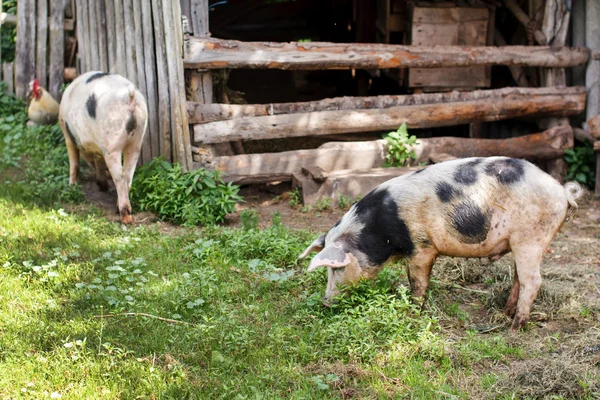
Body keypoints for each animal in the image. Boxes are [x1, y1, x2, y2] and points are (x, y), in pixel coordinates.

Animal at [58, 72, 149, 225]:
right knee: (128, 175)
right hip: (137, 139)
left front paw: (71, 187)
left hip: (112, 142)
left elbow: (74, 164)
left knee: (120, 177)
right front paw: (102, 186)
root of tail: (129, 97)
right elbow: (98, 161)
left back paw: (125, 217)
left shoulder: (68, 137)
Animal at [302, 157, 584, 332]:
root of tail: (562, 191)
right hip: (522, 241)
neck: (376, 231)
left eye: (337, 268)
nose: (326, 303)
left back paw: (514, 327)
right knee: (519, 278)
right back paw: (506, 313)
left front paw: (413, 312)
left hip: (531, 237)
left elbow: (417, 282)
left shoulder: (421, 247)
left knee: (533, 281)